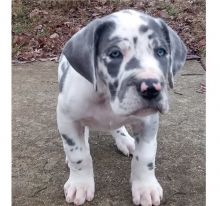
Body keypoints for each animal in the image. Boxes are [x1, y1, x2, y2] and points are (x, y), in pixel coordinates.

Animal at [56, 8, 186, 205]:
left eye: (161, 51)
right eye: (115, 54)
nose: (151, 88)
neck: (106, 98)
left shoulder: (148, 121)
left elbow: (145, 157)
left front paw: (145, 188)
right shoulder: (66, 118)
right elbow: (78, 156)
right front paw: (80, 185)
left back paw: (125, 140)